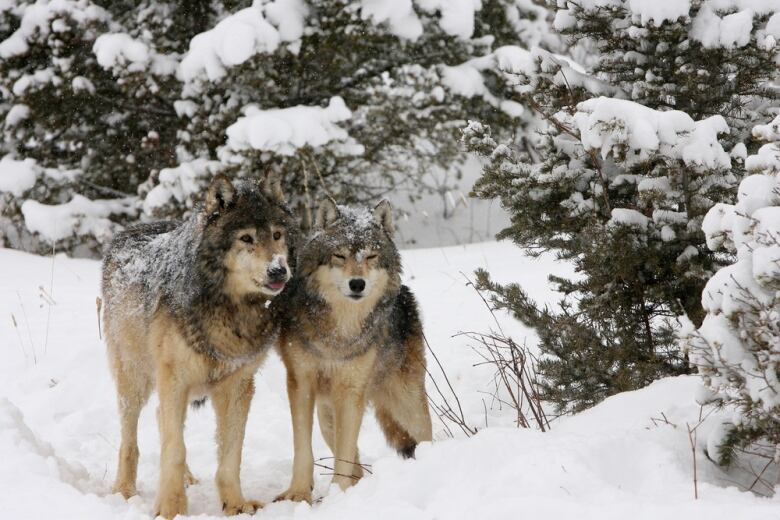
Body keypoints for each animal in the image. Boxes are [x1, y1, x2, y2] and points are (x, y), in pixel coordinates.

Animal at [100, 174, 298, 516]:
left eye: (276, 234)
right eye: (246, 238)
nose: (278, 270)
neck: (229, 309)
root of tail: (127, 233)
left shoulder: (238, 386)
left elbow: (231, 456)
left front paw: (236, 504)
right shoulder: (174, 380)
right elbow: (174, 449)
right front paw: (170, 508)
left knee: (162, 421)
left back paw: (188, 479)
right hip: (134, 380)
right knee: (132, 439)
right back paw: (124, 491)